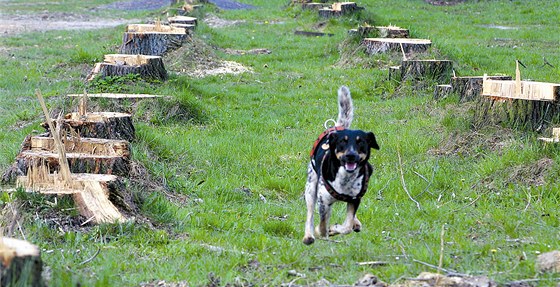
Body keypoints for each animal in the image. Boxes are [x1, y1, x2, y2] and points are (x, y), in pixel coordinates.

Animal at [302, 85, 380, 245]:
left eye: (361, 142)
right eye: (342, 142)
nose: (351, 155)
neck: (345, 179)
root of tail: (336, 128)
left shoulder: (355, 199)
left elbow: (347, 226)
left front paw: (336, 228)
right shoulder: (323, 201)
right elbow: (322, 226)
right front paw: (322, 231)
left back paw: (356, 223)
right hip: (311, 187)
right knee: (310, 214)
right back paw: (308, 236)